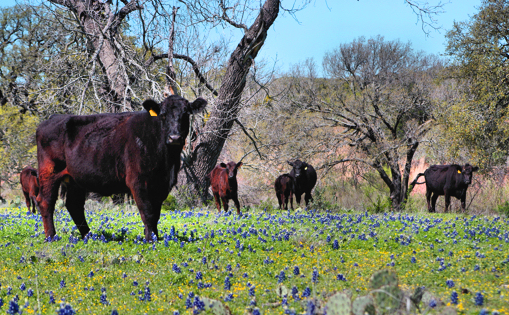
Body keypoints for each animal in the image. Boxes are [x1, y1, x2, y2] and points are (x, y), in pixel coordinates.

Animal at [35, 95, 206, 241]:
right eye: (163, 114)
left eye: (186, 114)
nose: (175, 138)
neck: (166, 161)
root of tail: (53, 118)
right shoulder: (138, 181)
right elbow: (148, 212)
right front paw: (150, 240)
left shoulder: (161, 185)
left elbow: (156, 214)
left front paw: (155, 237)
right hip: (50, 172)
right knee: (46, 202)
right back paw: (51, 236)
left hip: (75, 179)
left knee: (74, 205)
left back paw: (89, 236)